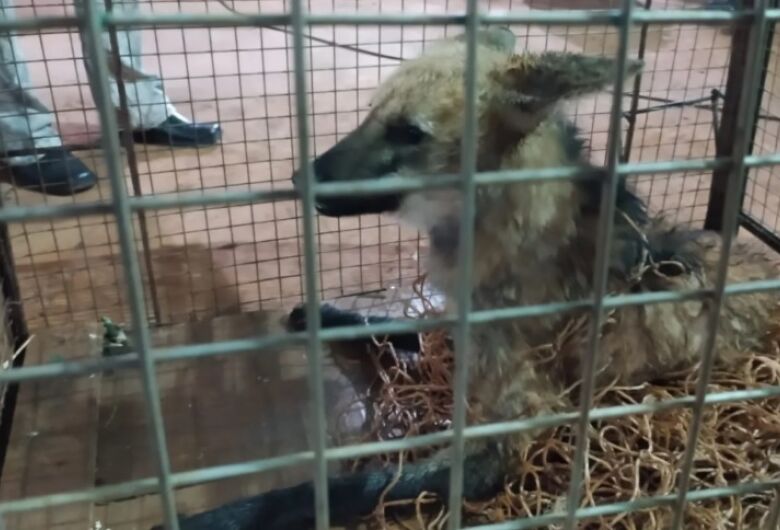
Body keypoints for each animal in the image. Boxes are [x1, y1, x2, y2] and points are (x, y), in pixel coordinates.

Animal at [154, 26, 780, 530]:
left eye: (409, 133)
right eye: (371, 114)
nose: (298, 177)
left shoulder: (518, 427)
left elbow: (340, 485)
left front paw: (221, 516)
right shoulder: (459, 333)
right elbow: (392, 327)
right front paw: (321, 313)